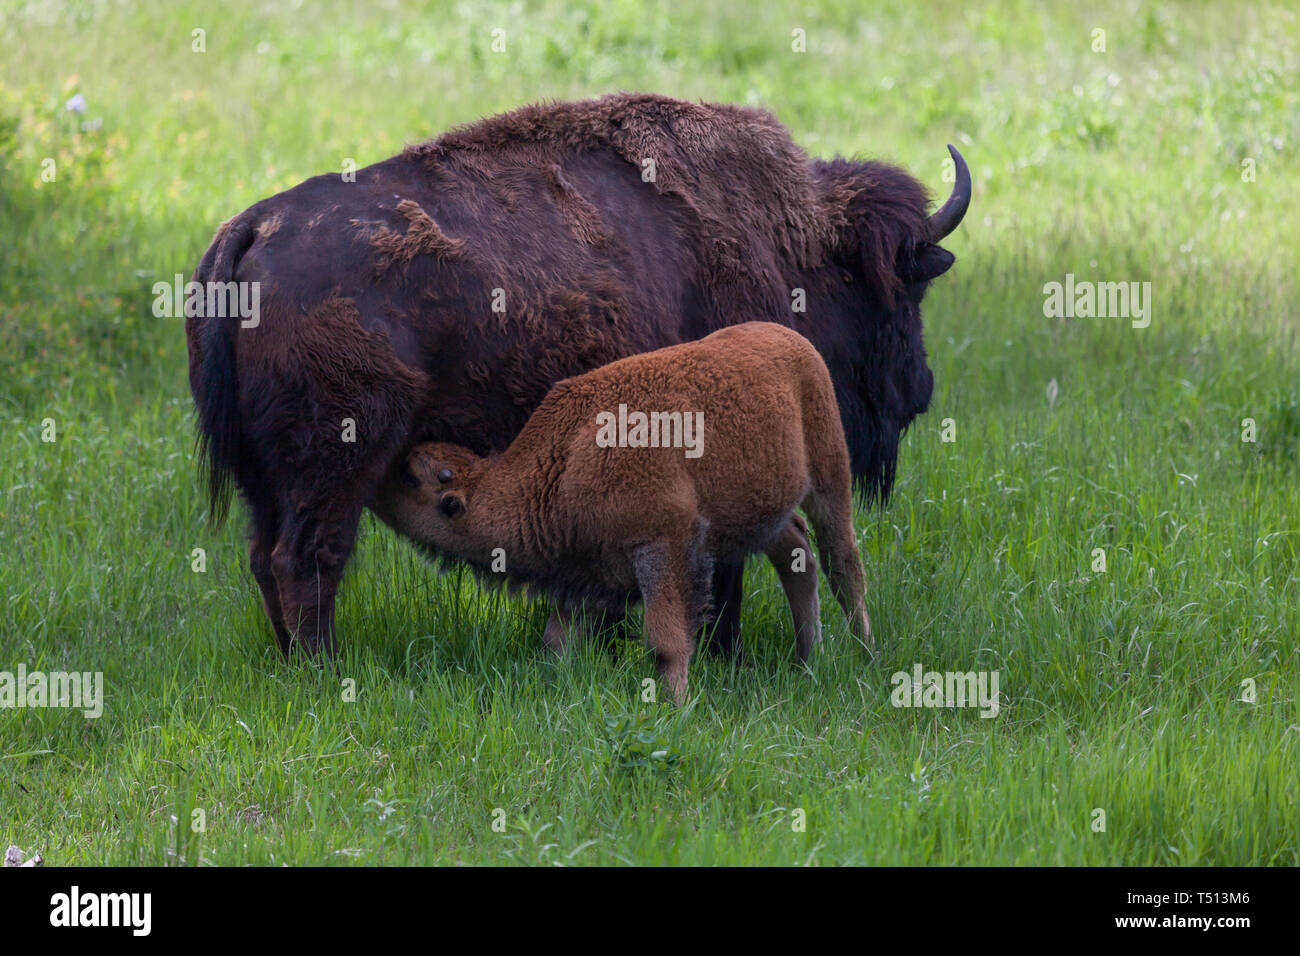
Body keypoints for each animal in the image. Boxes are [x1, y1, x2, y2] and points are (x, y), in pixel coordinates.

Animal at [188, 91, 972, 658]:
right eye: (905, 289)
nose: (922, 386)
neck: (792, 244)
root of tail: (254, 229)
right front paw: (719, 650)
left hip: (265, 478)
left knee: (265, 557)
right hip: (336, 462)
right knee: (307, 557)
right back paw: (326, 670)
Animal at [371, 321, 868, 702]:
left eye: (411, 476)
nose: (378, 476)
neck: (568, 461)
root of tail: (791, 339)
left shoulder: (663, 549)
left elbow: (666, 640)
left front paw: (675, 704)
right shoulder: (581, 575)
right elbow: (557, 639)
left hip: (829, 479)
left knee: (843, 563)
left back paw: (865, 654)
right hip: (762, 515)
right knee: (797, 554)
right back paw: (808, 659)